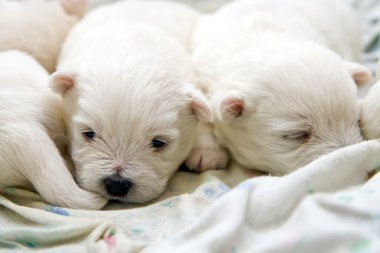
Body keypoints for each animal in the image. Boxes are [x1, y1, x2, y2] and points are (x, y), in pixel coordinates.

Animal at [190, 0, 372, 175]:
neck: (261, 44)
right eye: (297, 135)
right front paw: (208, 153)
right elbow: (203, 116)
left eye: (356, 120)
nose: (353, 161)